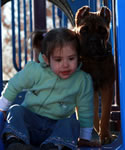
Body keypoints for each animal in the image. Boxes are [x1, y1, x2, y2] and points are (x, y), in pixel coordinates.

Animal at [74, 6, 115, 145]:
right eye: (84, 30)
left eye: (103, 31)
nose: (93, 41)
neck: (93, 60)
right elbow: (93, 115)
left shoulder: (107, 88)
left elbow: (105, 114)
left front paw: (105, 136)